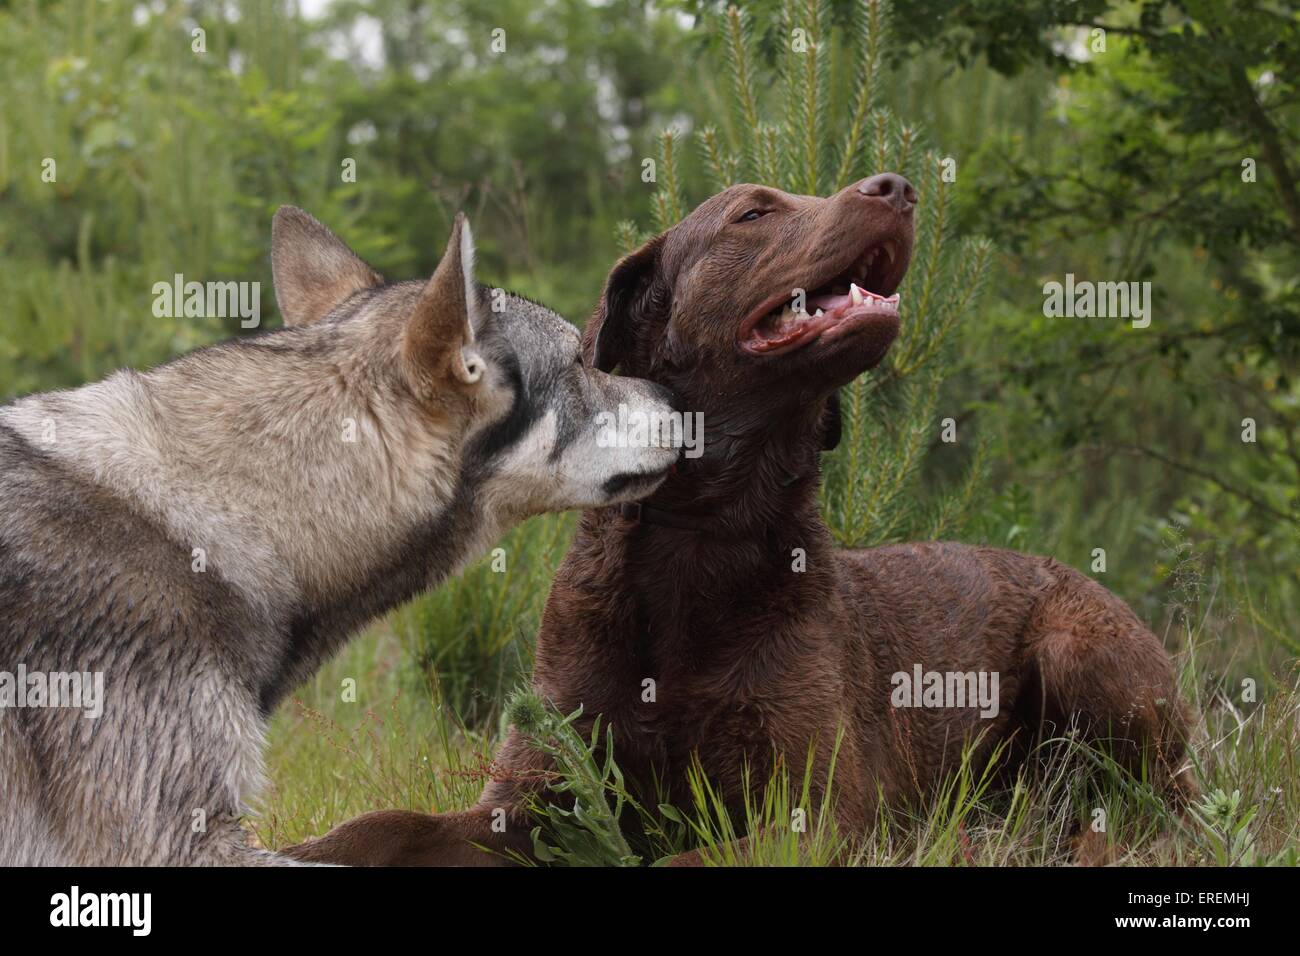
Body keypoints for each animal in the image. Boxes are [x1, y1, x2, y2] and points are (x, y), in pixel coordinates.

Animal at [287, 174, 1196, 868]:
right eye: (753, 213)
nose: (898, 187)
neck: (700, 536)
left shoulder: (817, 810)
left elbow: (689, 860)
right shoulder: (535, 790)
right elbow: (390, 823)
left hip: (1081, 652)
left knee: (1149, 812)